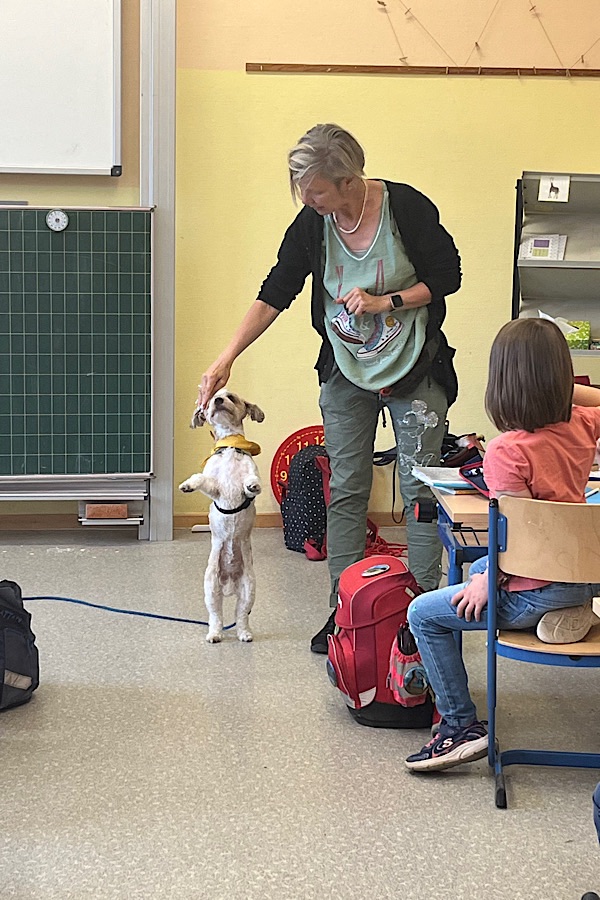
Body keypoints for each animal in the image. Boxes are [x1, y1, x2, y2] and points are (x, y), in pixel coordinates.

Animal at [177, 390, 264, 644]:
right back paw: (214, 633)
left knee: (241, 615)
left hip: (249, 588)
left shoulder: (248, 478)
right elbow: (201, 479)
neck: (230, 448)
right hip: (210, 588)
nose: (217, 400)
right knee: (215, 615)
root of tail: (229, 584)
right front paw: (188, 485)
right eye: (210, 401)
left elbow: (250, 482)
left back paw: (244, 633)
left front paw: (253, 485)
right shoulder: (214, 489)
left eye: (231, 397)